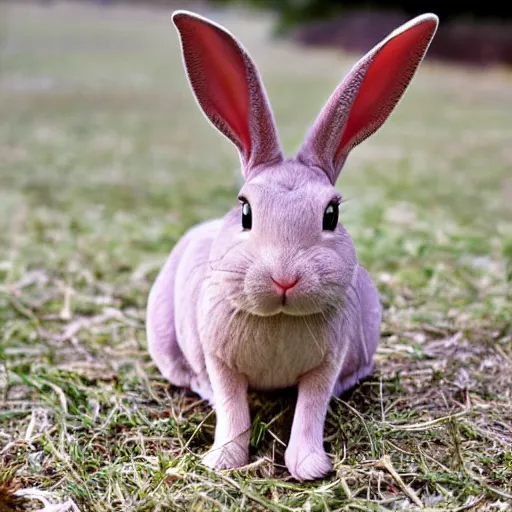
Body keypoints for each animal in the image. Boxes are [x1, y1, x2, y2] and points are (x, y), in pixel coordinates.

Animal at [146, 10, 438, 482]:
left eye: (331, 214)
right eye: (245, 210)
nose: (284, 278)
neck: (279, 319)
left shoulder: (327, 364)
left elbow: (310, 410)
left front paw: (309, 467)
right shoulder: (220, 360)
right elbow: (233, 408)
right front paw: (223, 461)